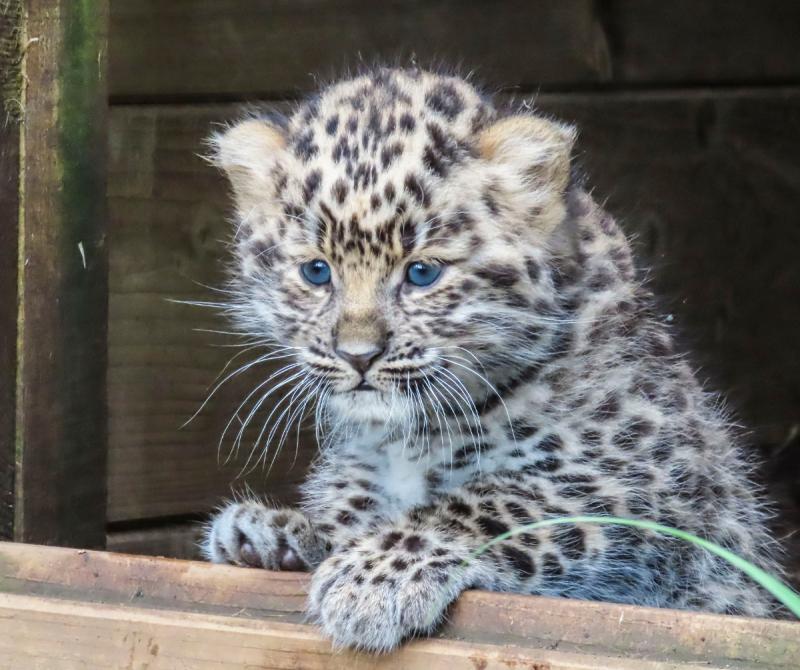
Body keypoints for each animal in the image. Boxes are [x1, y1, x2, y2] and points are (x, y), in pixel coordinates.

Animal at [200, 67, 783, 652]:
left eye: (422, 274)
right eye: (316, 272)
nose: (358, 355)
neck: (405, 438)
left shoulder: (639, 484)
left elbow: (495, 500)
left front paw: (373, 576)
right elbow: (351, 510)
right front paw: (274, 532)